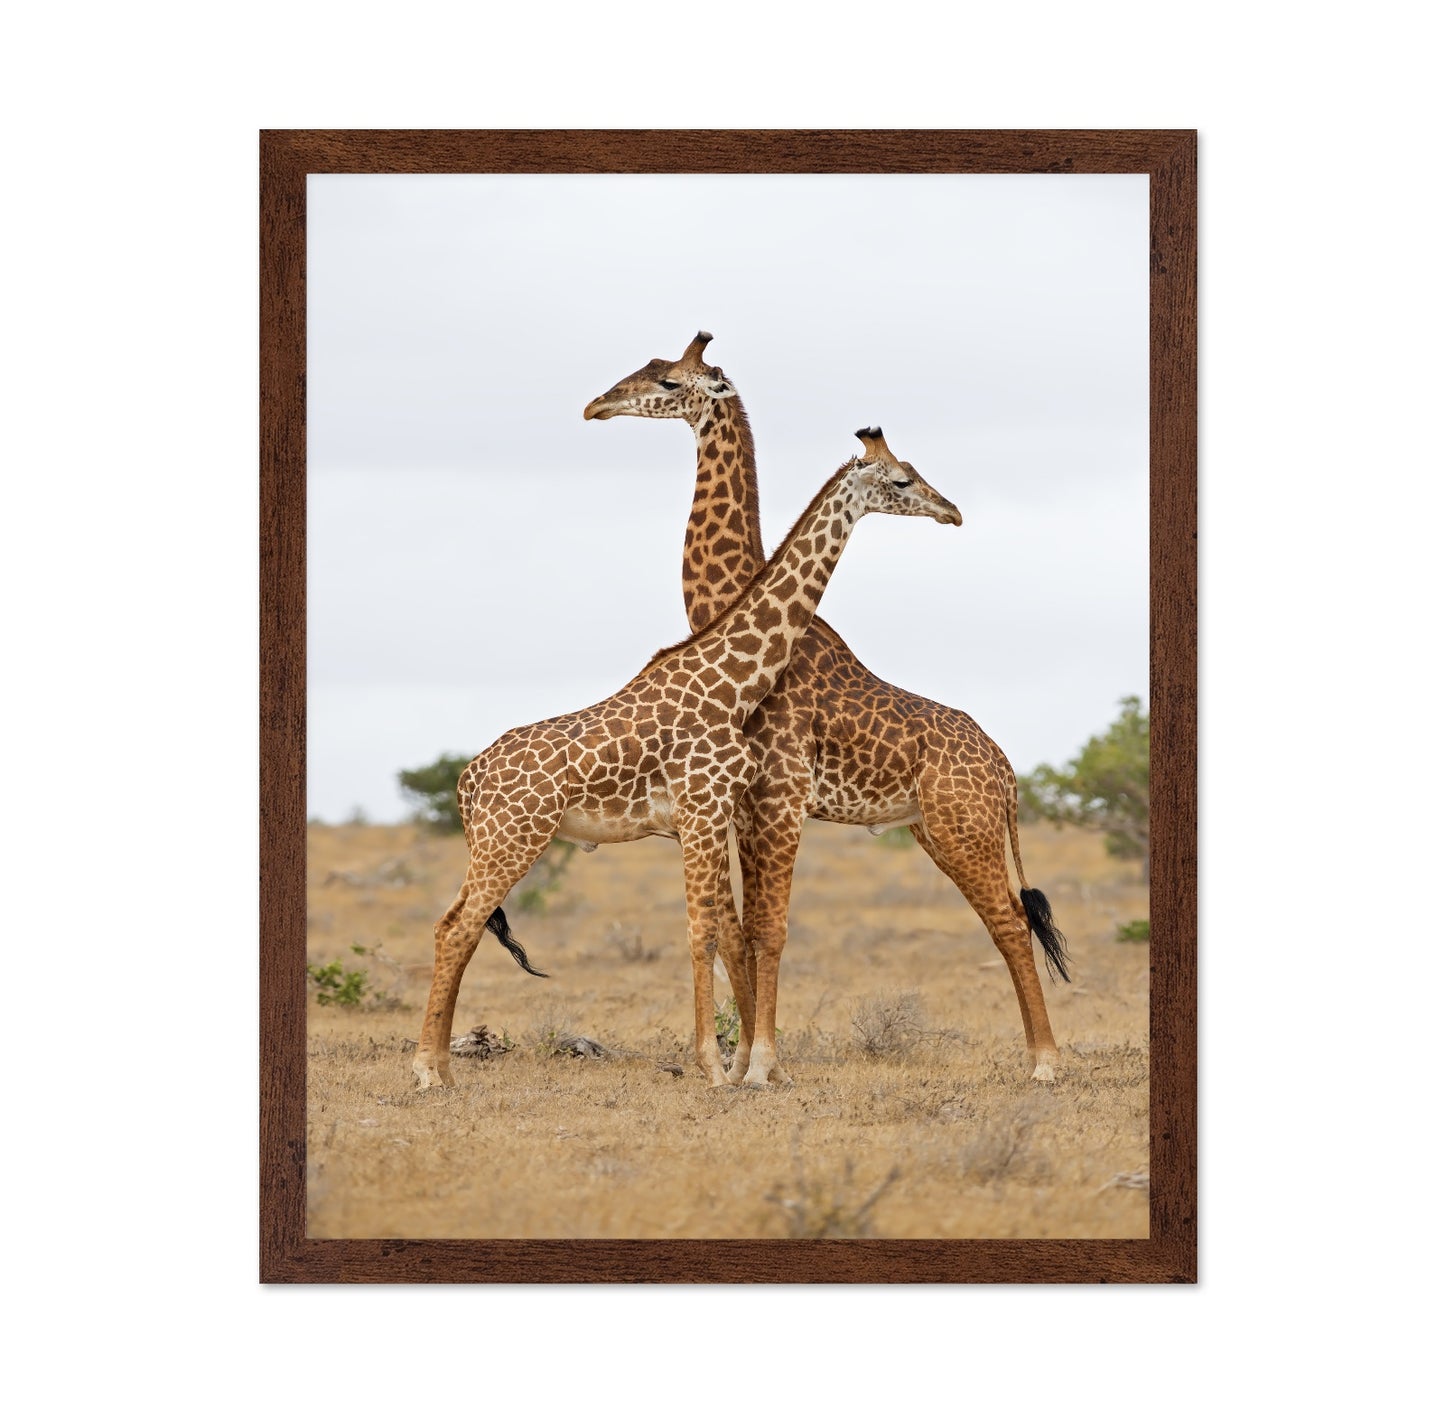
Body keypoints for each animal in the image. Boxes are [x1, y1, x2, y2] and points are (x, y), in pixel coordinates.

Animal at [412, 430, 961, 1090]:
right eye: (902, 480)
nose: (952, 512)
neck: (732, 685)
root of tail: (467, 780)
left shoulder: (706, 817)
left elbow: (719, 933)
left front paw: (727, 1065)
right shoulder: (700, 811)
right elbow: (703, 936)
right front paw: (715, 1070)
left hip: (498, 841)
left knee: (458, 927)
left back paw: (442, 1067)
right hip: (512, 837)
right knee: (455, 927)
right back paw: (427, 1071)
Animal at [584, 333, 1071, 1086]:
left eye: (667, 382)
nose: (596, 406)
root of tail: (1007, 771)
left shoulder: (778, 796)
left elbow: (766, 928)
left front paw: (758, 1064)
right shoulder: (741, 804)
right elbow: (738, 931)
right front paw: (742, 1061)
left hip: (966, 828)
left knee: (1012, 924)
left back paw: (1045, 1063)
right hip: (934, 830)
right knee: (1003, 923)